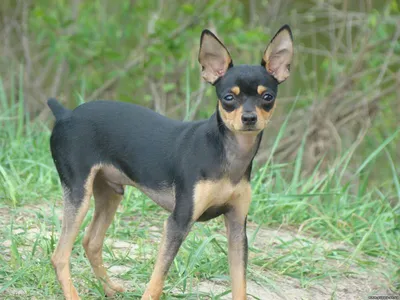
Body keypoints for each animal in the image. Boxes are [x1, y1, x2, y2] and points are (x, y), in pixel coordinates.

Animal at [49, 26, 294, 300]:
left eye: (268, 97)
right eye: (229, 97)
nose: (249, 118)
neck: (227, 155)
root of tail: (66, 114)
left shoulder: (237, 228)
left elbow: (240, 285)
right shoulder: (178, 223)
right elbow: (156, 282)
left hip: (109, 193)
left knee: (91, 242)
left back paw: (110, 288)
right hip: (79, 195)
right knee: (60, 256)